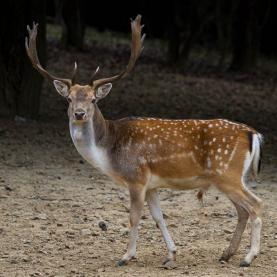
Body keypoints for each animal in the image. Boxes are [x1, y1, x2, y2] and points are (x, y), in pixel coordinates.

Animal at [26, 15, 264, 268]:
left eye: (93, 100)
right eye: (69, 99)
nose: (79, 114)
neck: (108, 151)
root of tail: (253, 134)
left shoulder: (136, 178)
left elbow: (133, 217)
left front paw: (126, 256)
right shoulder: (152, 185)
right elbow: (159, 217)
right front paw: (171, 254)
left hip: (228, 174)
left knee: (256, 205)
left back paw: (248, 257)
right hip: (228, 178)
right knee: (243, 211)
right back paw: (227, 253)